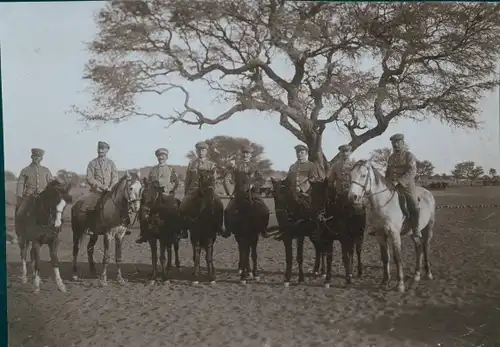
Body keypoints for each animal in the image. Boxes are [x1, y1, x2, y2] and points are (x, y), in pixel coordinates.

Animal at [346, 161, 436, 294]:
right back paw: (416, 275)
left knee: (425, 247)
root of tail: (428, 192)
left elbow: (397, 258)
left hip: (429, 228)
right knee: (419, 247)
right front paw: (385, 282)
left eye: (363, 175)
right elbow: (385, 257)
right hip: (413, 233)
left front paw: (400, 285)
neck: (383, 205)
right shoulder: (380, 235)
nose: (352, 197)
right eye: (350, 175)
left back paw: (428, 274)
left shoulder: (394, 234)